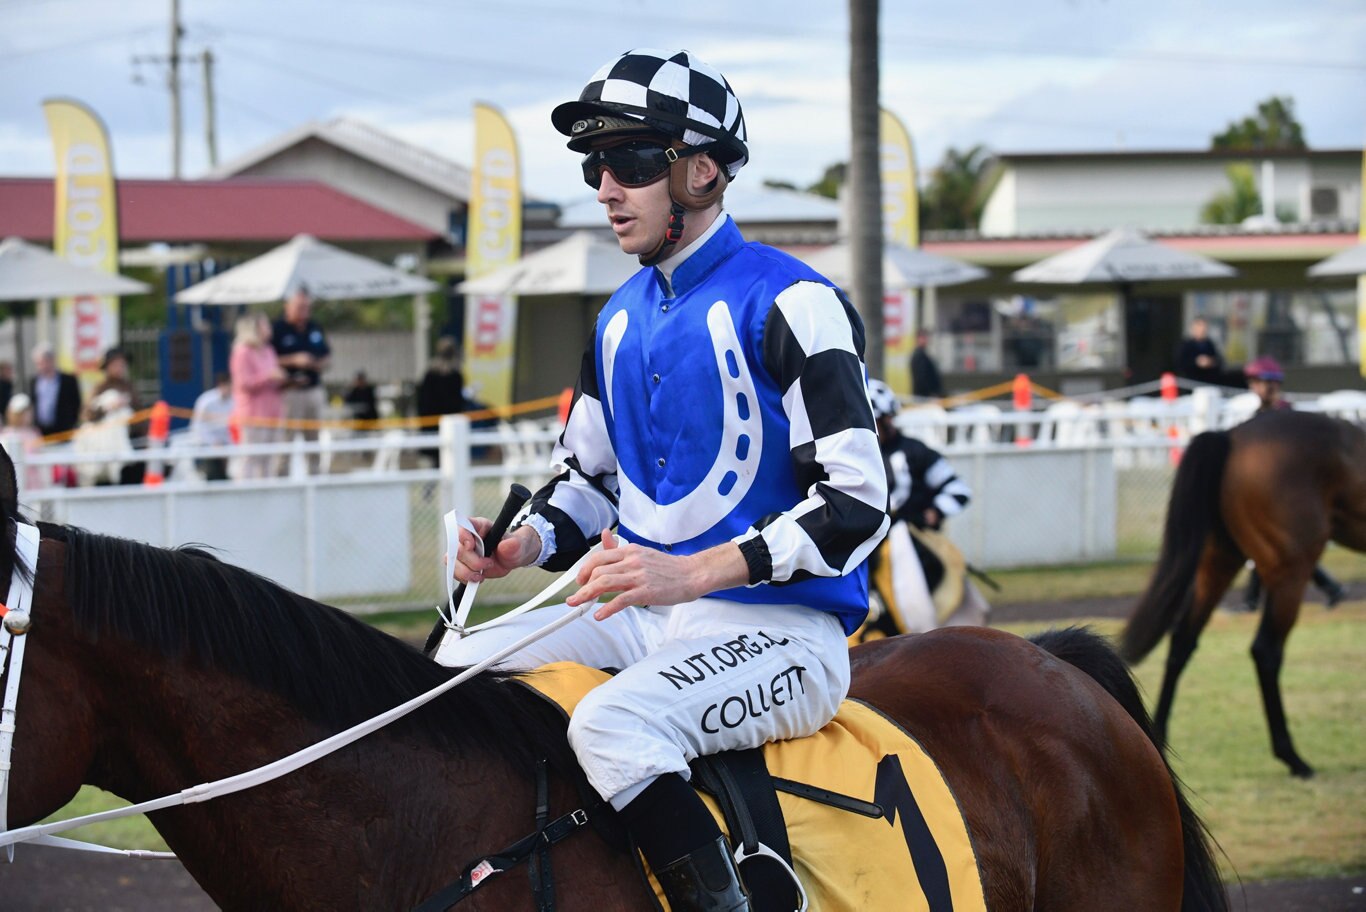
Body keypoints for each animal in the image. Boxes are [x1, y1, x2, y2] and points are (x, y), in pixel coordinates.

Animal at [1120, 412, 1366, 775]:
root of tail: (1230, 435)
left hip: (1219, 560)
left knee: (1183, 640)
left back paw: (1158, 740)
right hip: (1290, 568)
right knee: (1266, 650)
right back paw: (1292, 757)